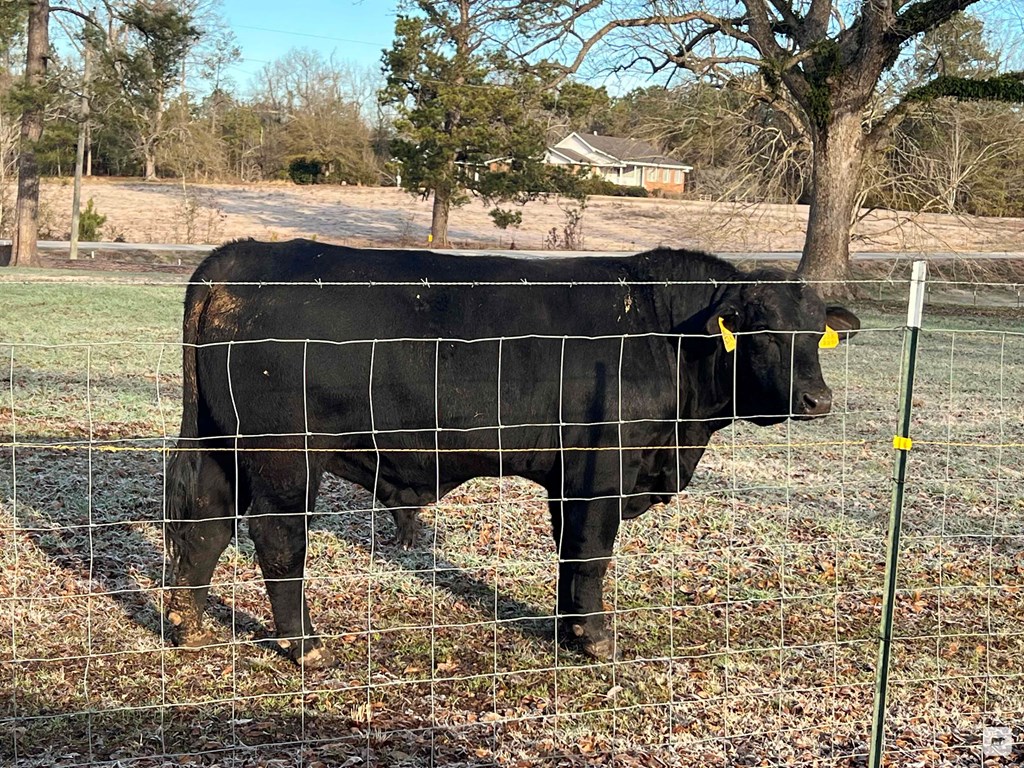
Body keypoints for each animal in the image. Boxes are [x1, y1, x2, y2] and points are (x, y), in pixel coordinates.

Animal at [165, 241, 856, 667]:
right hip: (285, 457)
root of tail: (239, 255)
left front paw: (567, 630)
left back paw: (185, 624)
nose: (818, 400)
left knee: (204, 523)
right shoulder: (600, 471)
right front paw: (594, 639)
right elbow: (591, 555)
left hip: (220, 444)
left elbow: (570, 557)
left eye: (817, 333)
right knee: (278, 541)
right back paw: (304, 644)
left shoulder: (569, 480)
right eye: (764, 334)